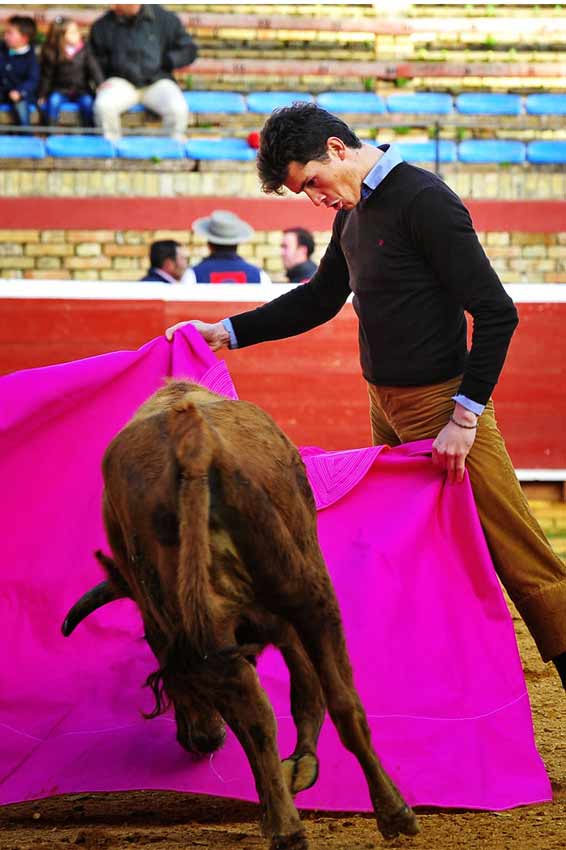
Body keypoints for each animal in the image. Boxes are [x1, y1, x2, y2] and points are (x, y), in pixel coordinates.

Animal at [62, 380, 420, 848]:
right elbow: (310, 690)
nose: (198, 740)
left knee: (256, 711)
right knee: (336, 700)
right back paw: (383, 810)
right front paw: (296, 774)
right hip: (306, 590)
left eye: (152, 643)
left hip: (227, 623)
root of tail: (195, 448)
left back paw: (289, 822)